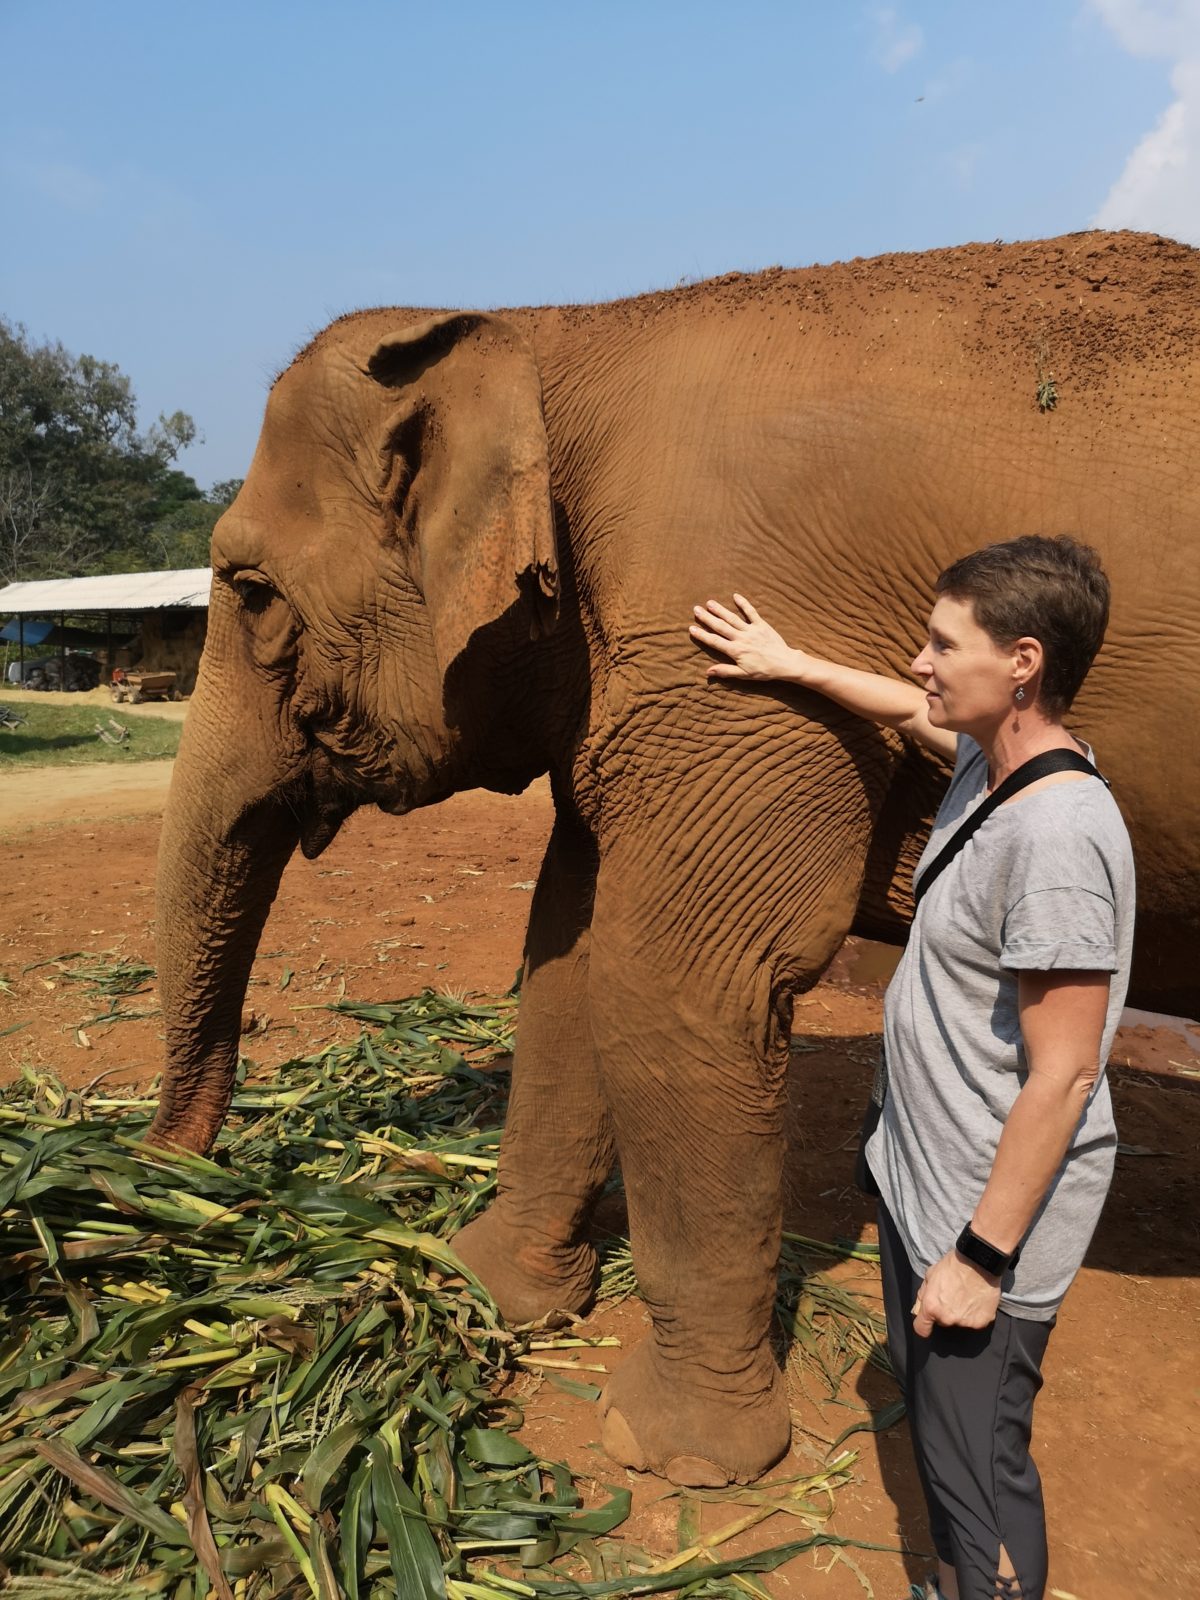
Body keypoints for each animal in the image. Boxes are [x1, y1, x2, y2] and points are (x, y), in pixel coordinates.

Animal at [150, 229, 1200, 1487]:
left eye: (250, 590)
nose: (169, 1183)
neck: (558, 332)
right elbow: (568, 956)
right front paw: (487, 1290)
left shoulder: (723, 647)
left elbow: (675, 984)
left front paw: (673, 1454)